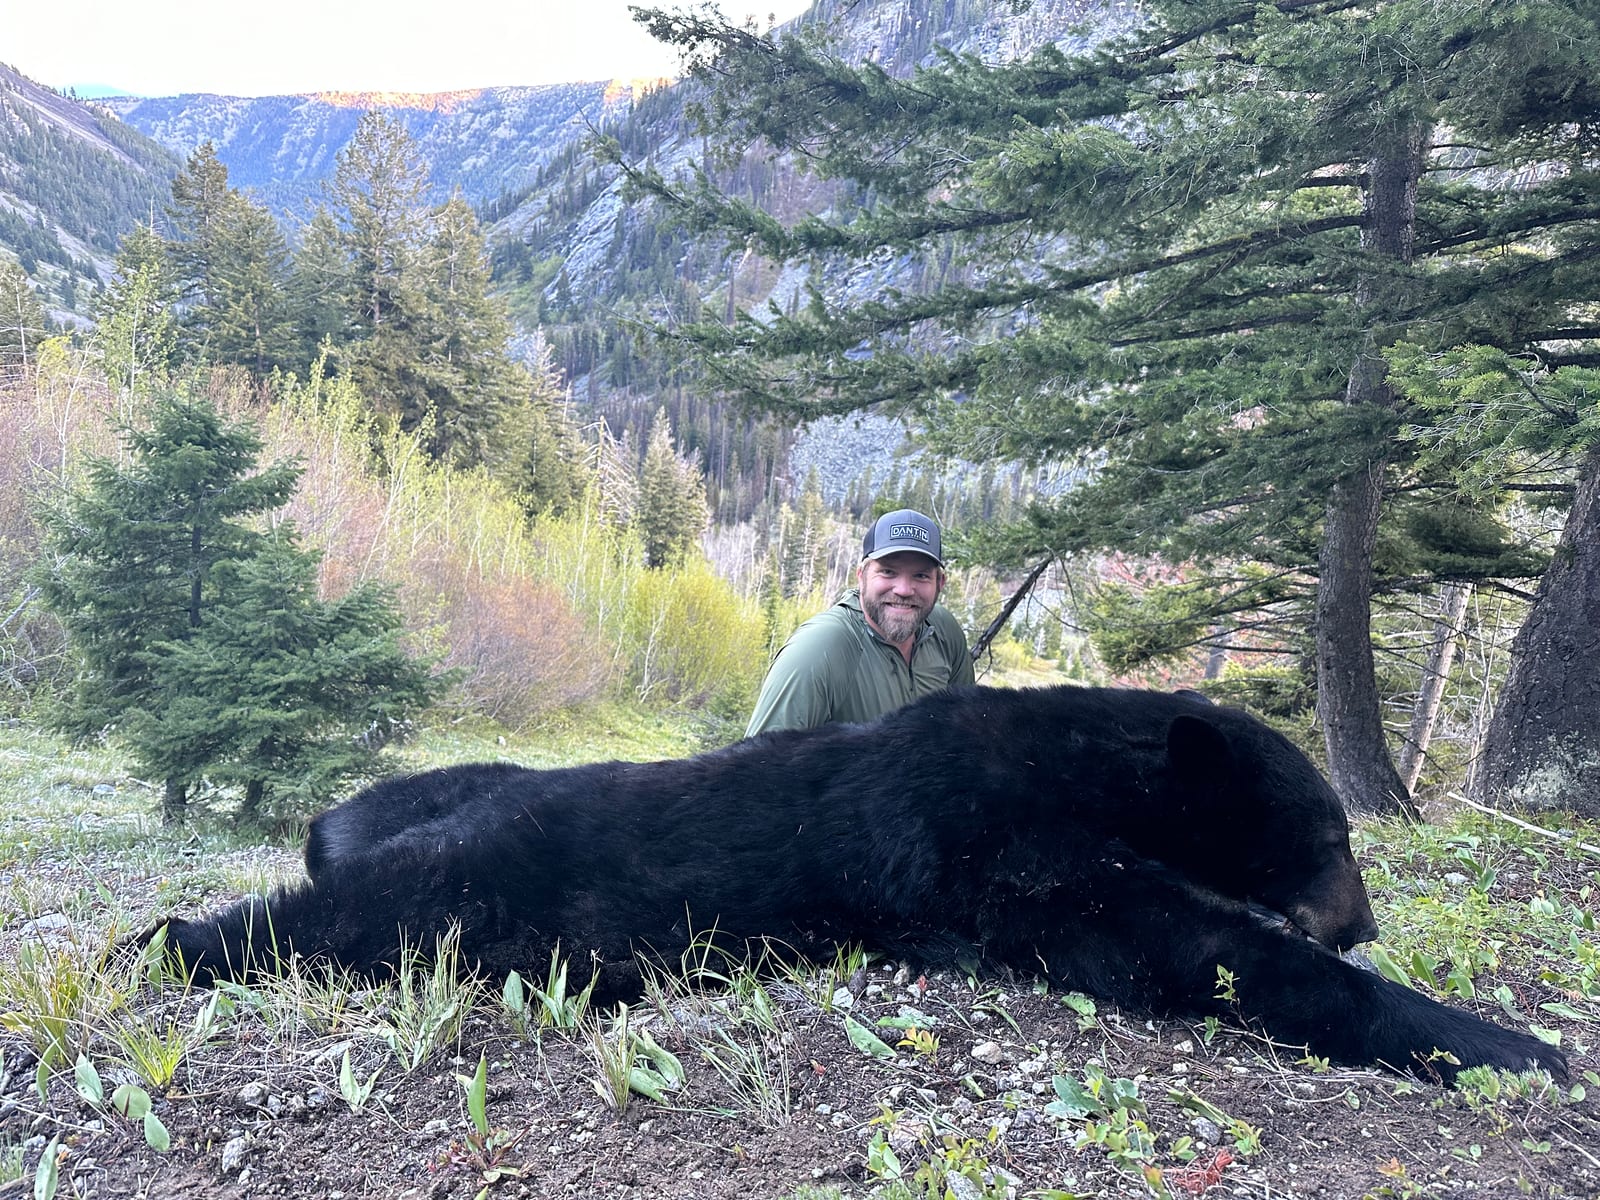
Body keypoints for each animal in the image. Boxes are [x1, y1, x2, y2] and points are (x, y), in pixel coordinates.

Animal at [153, 684, 1566, 1082]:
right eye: (1329, 833)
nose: (1364, 919)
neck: (1083, 767)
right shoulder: (993, 848)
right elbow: (1187, 943)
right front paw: (1512, 1044)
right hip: (486, 876)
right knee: (335, 916)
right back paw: (174, 938)